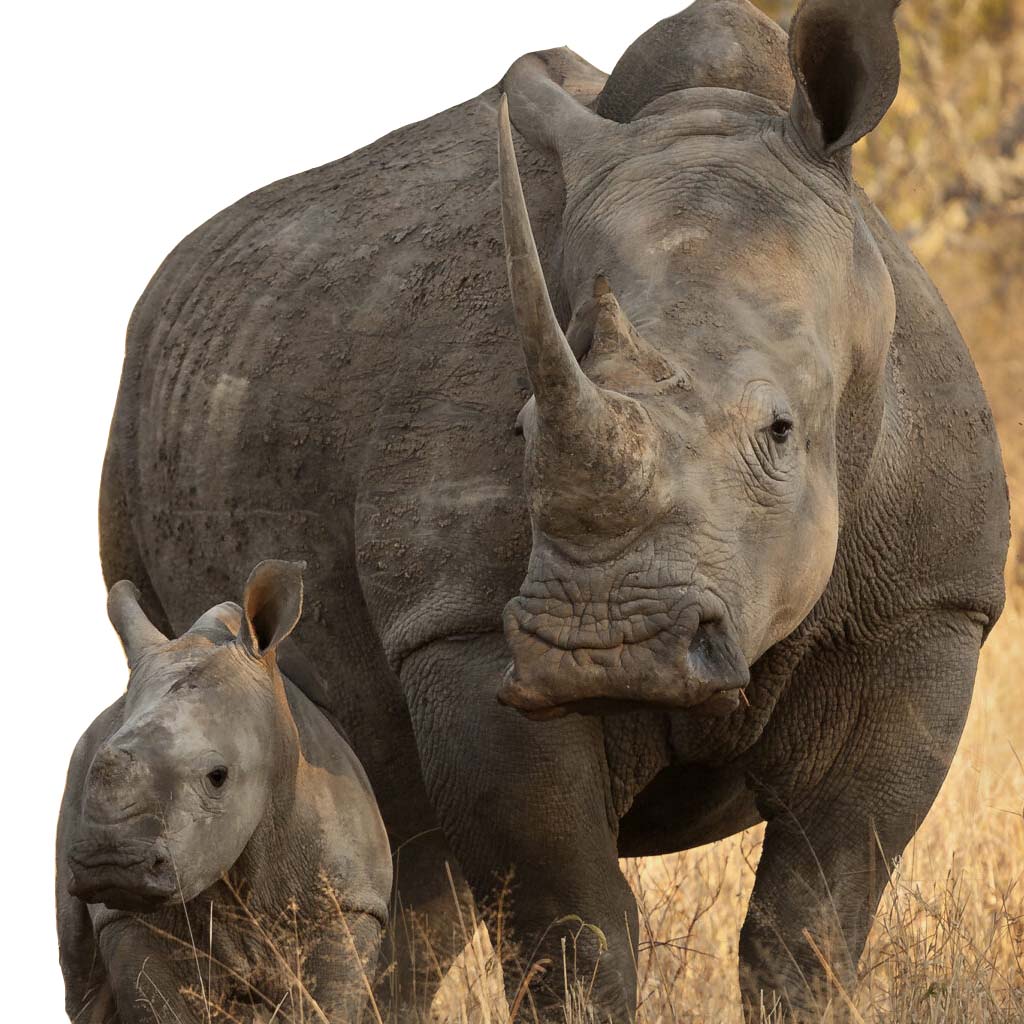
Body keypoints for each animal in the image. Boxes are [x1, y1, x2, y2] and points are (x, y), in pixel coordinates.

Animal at [57, 561, 392, 1023]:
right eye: (94, 768)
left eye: (218, 776)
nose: (110, 864)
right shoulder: (128, 918)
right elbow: (158, 1004)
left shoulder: (350, 904)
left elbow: (331, 1003)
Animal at [98, 0, 1009, 1017]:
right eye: (524, 428)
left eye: (780, 432)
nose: (604, 648)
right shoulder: (461, 626)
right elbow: (570, 922)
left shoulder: (928, 609)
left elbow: (814, 916)